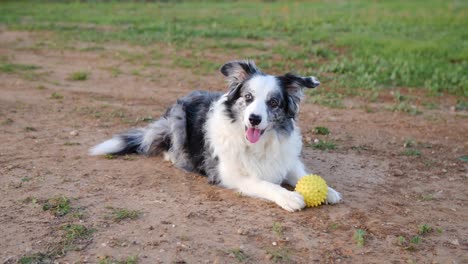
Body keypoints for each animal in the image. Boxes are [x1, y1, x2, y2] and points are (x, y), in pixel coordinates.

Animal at [89, 59, 342, 210]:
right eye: (248, 97)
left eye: (273, 102)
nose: (254, 119)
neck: (258, 144)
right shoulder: (229, 174)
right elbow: (262, 183)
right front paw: (288, 197)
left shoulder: (285, 159)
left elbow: (301, 175)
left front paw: (328, 190)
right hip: (177, 117)